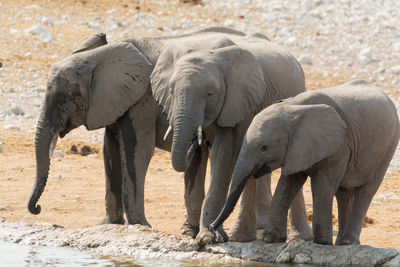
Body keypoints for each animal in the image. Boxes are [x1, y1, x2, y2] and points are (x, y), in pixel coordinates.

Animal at [27, 27, 278, 237]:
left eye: (63, 100)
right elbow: (110, 151)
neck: (100, 56)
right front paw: (109, 224)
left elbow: (138, 150)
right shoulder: (114, 103)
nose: (37, 208)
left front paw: (140, 225)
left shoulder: (142, 100)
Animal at [150, 32, 312, 244]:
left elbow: (223, 154)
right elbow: (199, 163)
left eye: (210, 93)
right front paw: (190, 232)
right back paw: (243, 235)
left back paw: (297, 237)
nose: (194, 140)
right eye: (171, 91)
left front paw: (207, 237)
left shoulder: (237, 102)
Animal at [211, 80, 398, 246]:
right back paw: (341, 244)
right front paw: (270, 239)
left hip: (387, 148)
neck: (293, 108)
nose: (214, 232)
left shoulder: (339, 145)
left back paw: (347, 242)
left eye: (264, 148)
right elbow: (287, 185)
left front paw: (322, 243)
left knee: (366, 192)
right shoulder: (297, 149)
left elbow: (322, 187)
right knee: (343, 192)